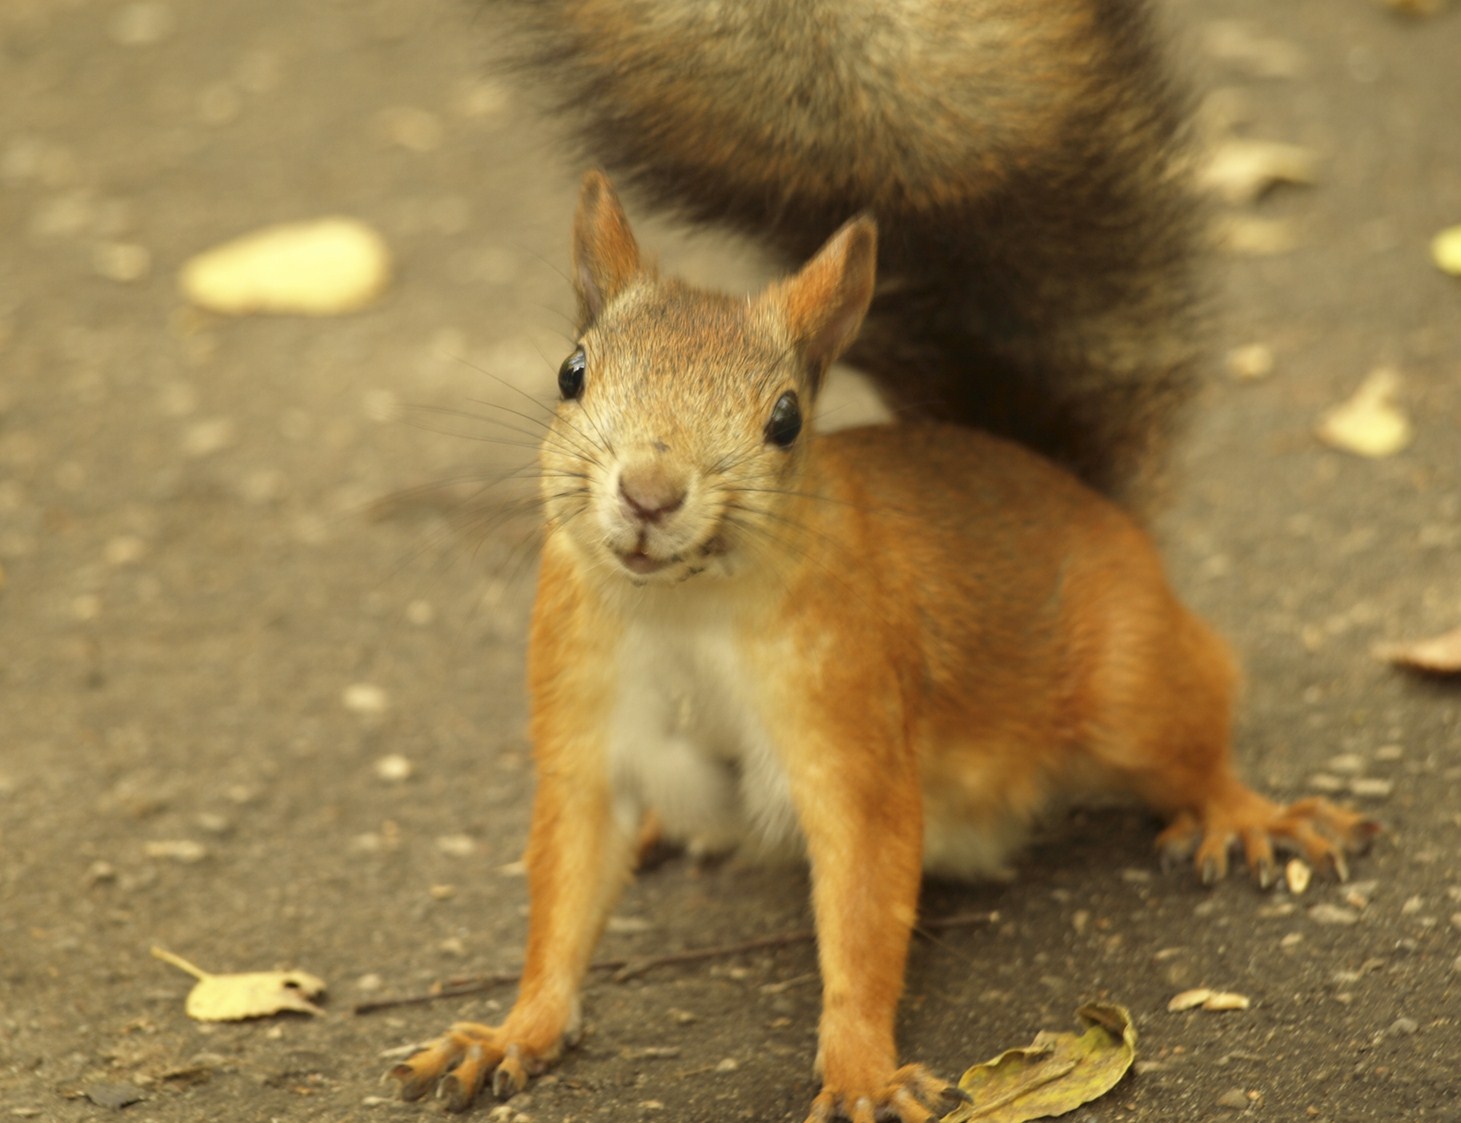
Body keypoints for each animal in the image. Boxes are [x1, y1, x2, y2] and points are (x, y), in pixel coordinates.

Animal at [385, 2, 1367, 1121]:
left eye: (785, 419)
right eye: (571, 371)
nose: (649, 491)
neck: (684, 608)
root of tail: (1069, 489)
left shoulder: (848, 715)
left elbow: (863, 899)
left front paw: (857, 1066)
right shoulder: (582, 723)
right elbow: (564, 885)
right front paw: (513, 1028)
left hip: (1130, 684)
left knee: (1191, 738)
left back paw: (1247, 813)